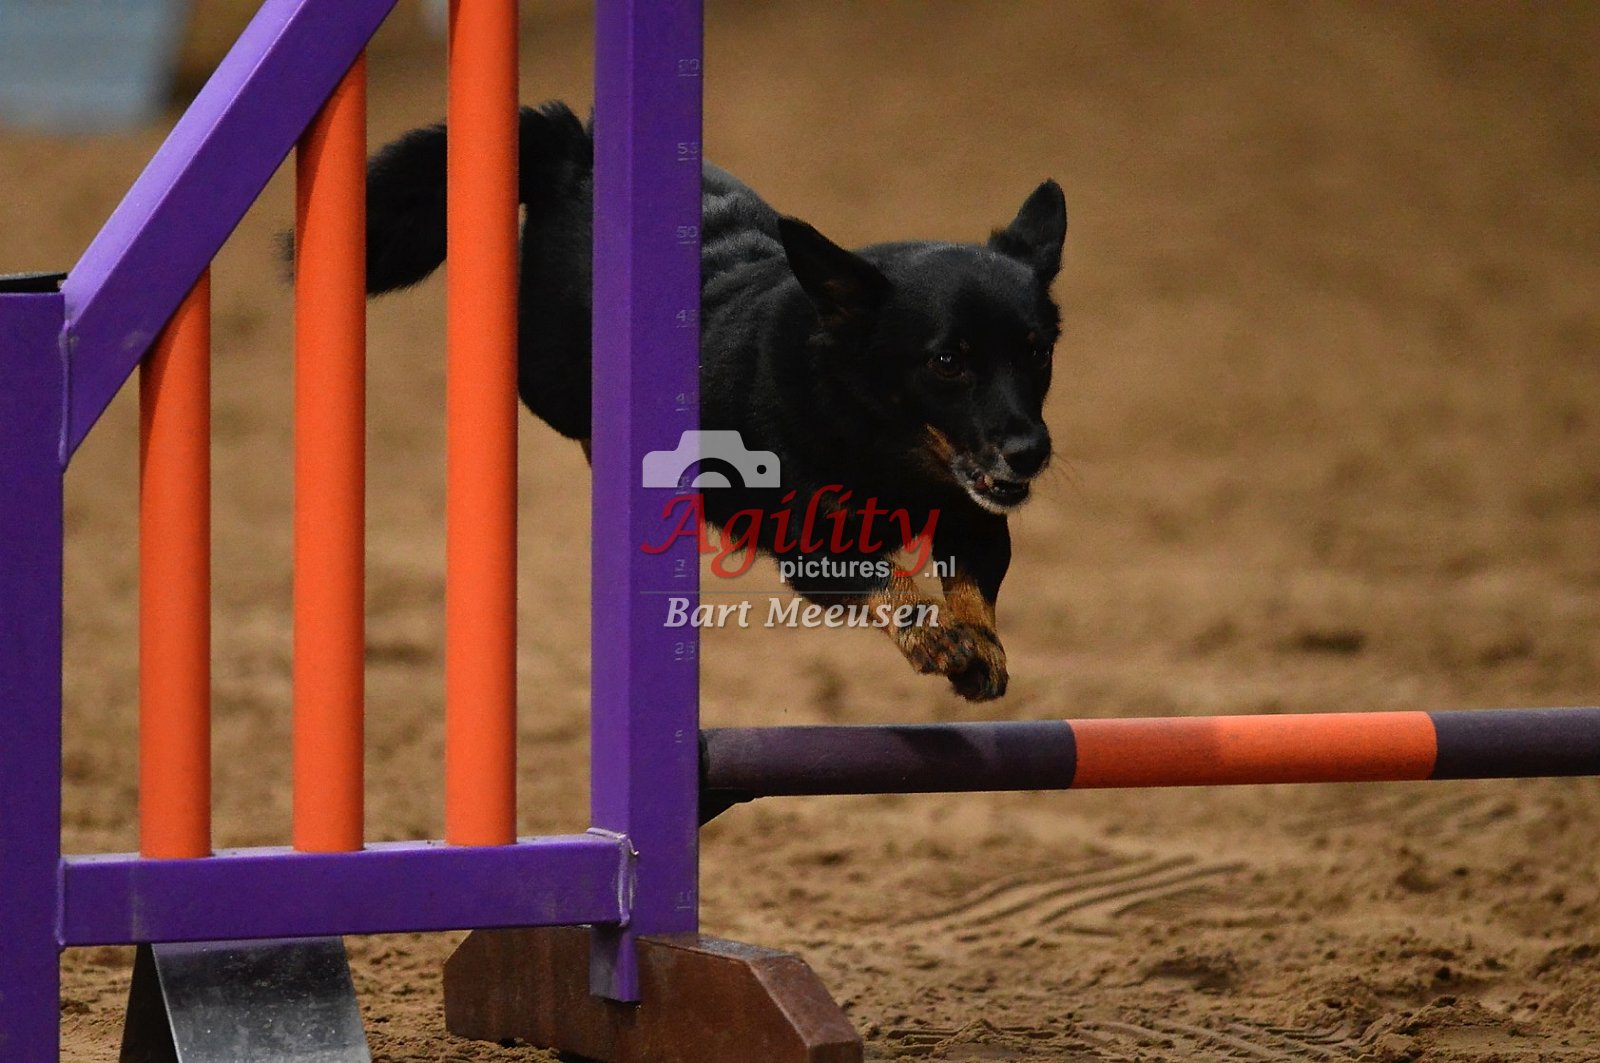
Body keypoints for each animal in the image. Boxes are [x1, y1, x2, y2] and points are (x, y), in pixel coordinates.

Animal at [362, 101, 1066, 701]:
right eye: (947, 361)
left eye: (1037, 351)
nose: (1031, 452)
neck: (878, 433)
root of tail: (577, 151)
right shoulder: (813, 542)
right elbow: (890, 580)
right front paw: (936, 636)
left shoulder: (974, 511)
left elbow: (974, 577)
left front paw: (978, 646)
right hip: (551, 376)